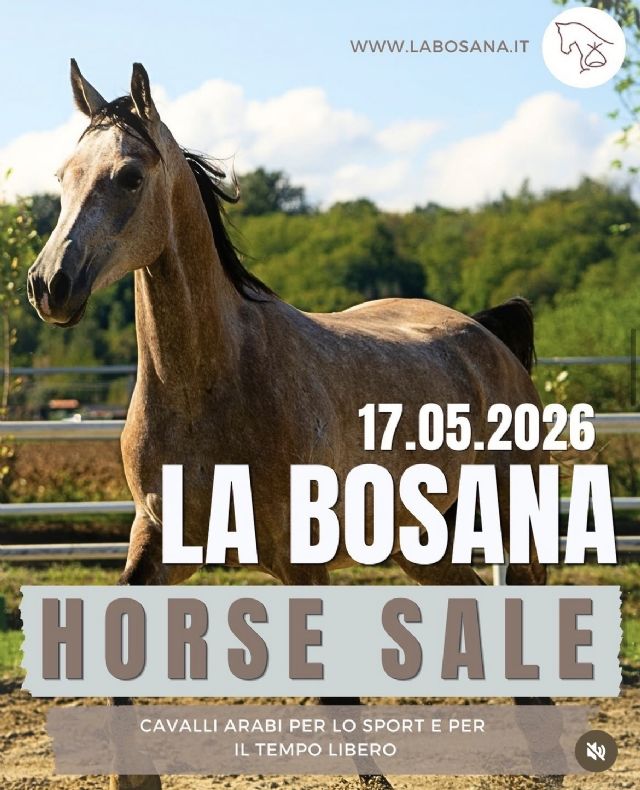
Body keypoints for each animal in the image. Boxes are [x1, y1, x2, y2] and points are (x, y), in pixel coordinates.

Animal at [27, 61, 551, 790]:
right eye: (63, 175)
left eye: (129, 176)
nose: (50, 285)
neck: (212, 384)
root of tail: (487, 336)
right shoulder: (162, 542)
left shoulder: (301, 559)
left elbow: (338, 699)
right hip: (416, 542)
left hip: (508, 514)